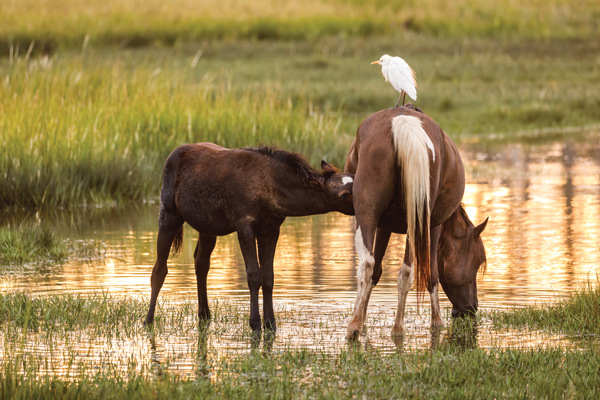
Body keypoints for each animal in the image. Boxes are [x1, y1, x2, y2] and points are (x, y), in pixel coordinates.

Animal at [144, 142, 354, 332]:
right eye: (344, 194)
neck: (277, 196)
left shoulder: (271, 229)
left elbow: (268, 277)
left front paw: (270, 323)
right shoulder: (244, 224)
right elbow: (253, 275)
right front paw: (255, 323)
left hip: (208, 226)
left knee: (201, 262)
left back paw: (204, 314)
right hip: (169, 213)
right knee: (160, 268)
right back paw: (148, 319)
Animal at [342, 106, 488, 340]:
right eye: (476, 262)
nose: (471, 308)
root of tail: (402, 123)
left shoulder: (383, 225)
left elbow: (376, 271)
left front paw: (362, 320)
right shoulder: (434, 225)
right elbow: (432, 274)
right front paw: (436, 322)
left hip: (367, 212)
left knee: (366, 264)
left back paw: (354, 327)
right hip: (418, 219)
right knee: (407, 272)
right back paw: (398, 328)